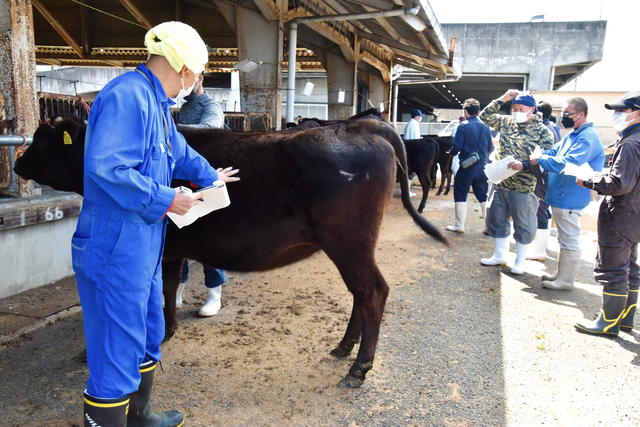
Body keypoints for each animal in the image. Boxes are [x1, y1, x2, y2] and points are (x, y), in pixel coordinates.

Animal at [13, 113, 444, 388]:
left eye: (41, 140)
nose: (17, 165)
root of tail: (361, 126)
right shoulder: (174, 246)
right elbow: (169, 285)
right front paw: (169, 329)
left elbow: (157, 288)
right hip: (351, 245)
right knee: (360, 292)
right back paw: (343, 348)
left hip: (348, 240)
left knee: (372, 291)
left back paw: (359, 367)